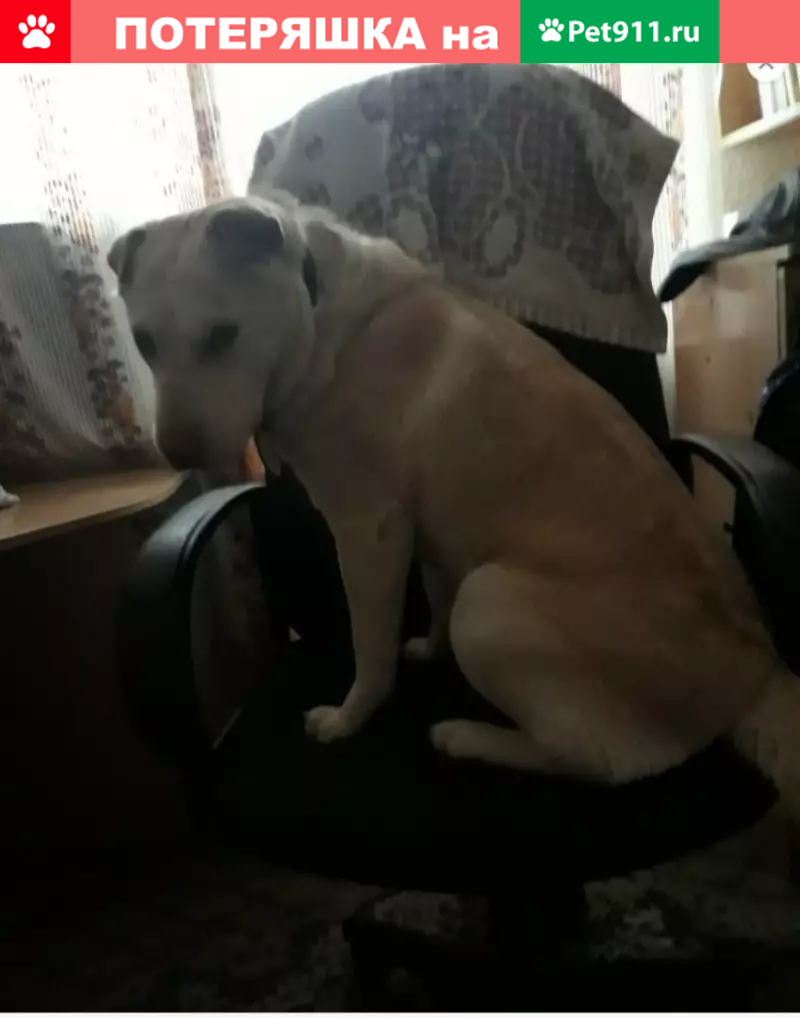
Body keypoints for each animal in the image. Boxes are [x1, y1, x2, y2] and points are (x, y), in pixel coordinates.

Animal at [108, 193, 800, 803]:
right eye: (143, 342)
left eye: (221, 336)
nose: (179, 455)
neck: (316, 308)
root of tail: (755, 674)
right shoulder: (423, 531)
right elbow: (429, 599)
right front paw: (426, 649)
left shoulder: (367, 530)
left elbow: (371, 648)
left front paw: (347, 719)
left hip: (489, 602)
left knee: (607, 760)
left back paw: (466, 737)